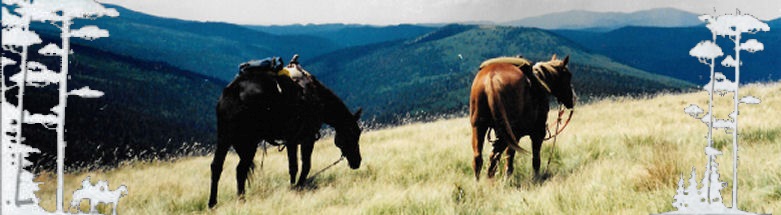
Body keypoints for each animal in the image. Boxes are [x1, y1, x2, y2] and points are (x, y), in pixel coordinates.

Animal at [209, 55, 364, 208]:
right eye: (353, 134)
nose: (357, 162)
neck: (319, 99)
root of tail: (234, 90)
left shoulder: (291, 141)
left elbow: (293, 167)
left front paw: (292, 187)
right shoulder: (307, 138)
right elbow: (305, 165)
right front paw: (299, 187)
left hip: (226, 138)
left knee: (218, 167)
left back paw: (214, 203)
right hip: (249, 142)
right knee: (240, 169)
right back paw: (240, 200)